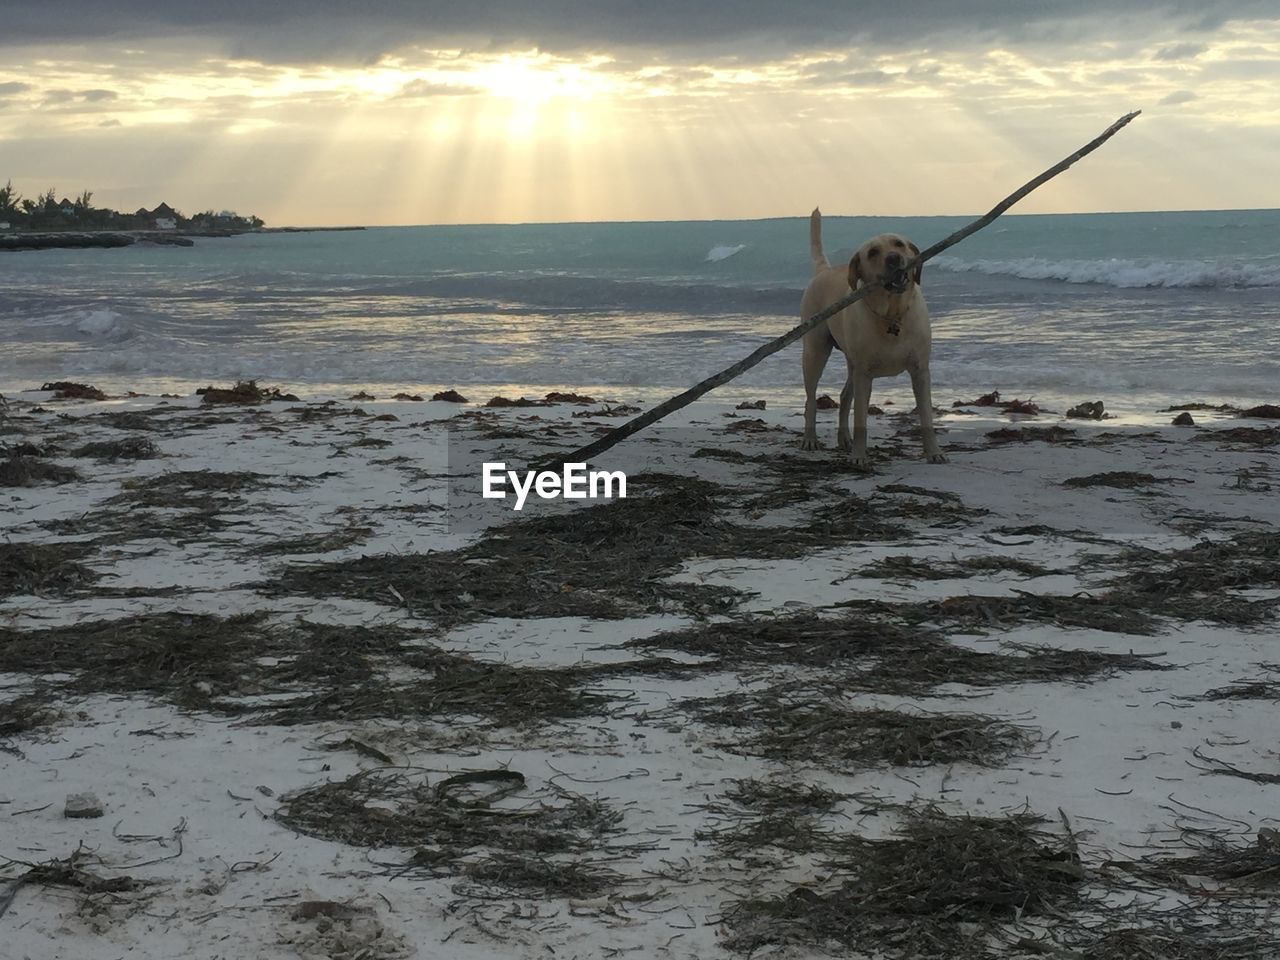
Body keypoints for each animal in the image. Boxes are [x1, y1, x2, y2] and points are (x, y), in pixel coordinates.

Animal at [798, 208, 942, 471]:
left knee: (844, 396)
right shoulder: (864, 374)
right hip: (815, 350)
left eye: (899, 244)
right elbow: (861, 421)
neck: (892, 314)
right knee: (811, 399)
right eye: (873, 252)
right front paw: (859, 456)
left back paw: (843, 438)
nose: (894, 258)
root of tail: (824, 270)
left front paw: (934, 452)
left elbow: (926, 415)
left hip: (851, 363)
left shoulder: (920, 370)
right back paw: (810, 438)